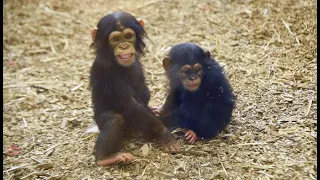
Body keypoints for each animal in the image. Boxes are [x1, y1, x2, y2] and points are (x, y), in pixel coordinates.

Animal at [89, 11, 180, 167]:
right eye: (116, 39)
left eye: (128, 36)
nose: (124, 46)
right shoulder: (105, 69)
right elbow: (129, 105)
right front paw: (165, 135)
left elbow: (144, 94)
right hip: (100, 120)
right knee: (115, 119)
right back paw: (105, 157)